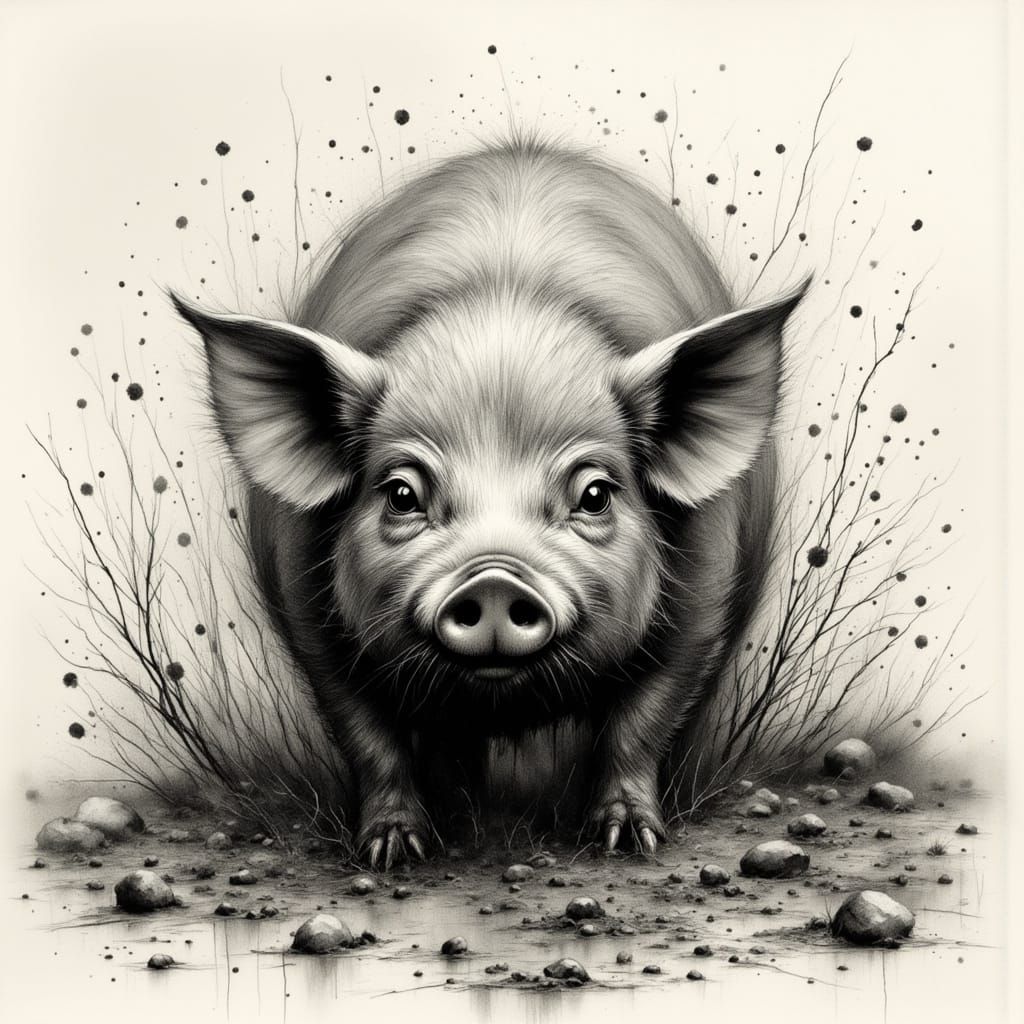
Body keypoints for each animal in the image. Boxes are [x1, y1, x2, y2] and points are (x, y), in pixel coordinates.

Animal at [172, 137, 808, 868]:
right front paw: (393, 853)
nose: (497, 578)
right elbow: (367, 735)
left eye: (595, 494)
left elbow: (643, 719)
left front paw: (628, 843)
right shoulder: (312, 622)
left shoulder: (702, 604)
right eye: (401, 493)